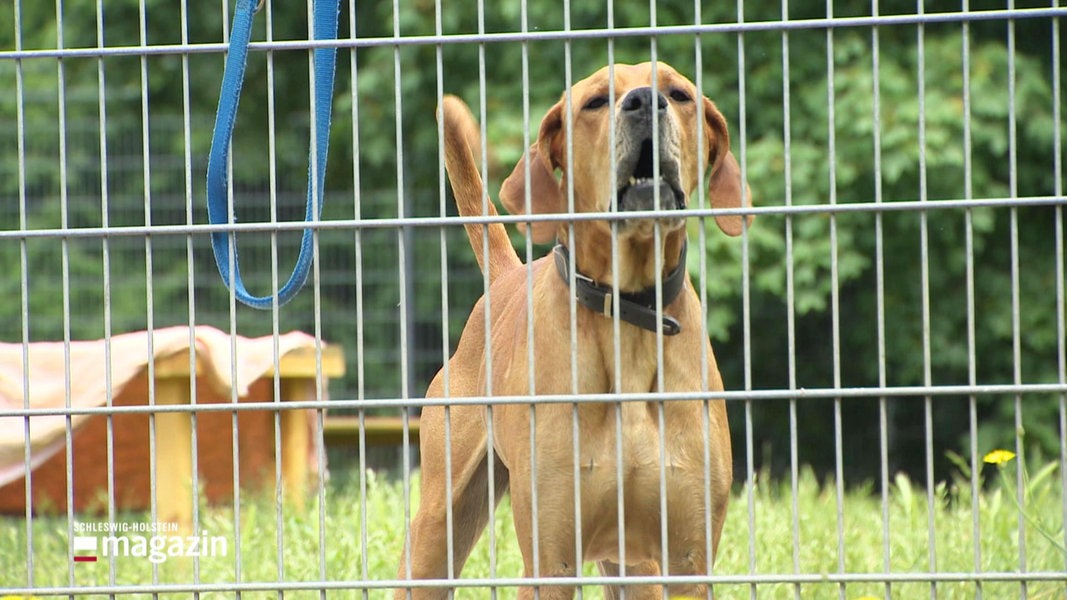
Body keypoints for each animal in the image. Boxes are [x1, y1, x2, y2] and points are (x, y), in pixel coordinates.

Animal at [399, 62, 751, 593]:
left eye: (679, 94)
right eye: (595, 102)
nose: (645, 102)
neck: (627, 314)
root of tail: (505, 276)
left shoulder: (687, 561)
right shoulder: (551, 560)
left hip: (632, 565)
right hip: (439, 527)